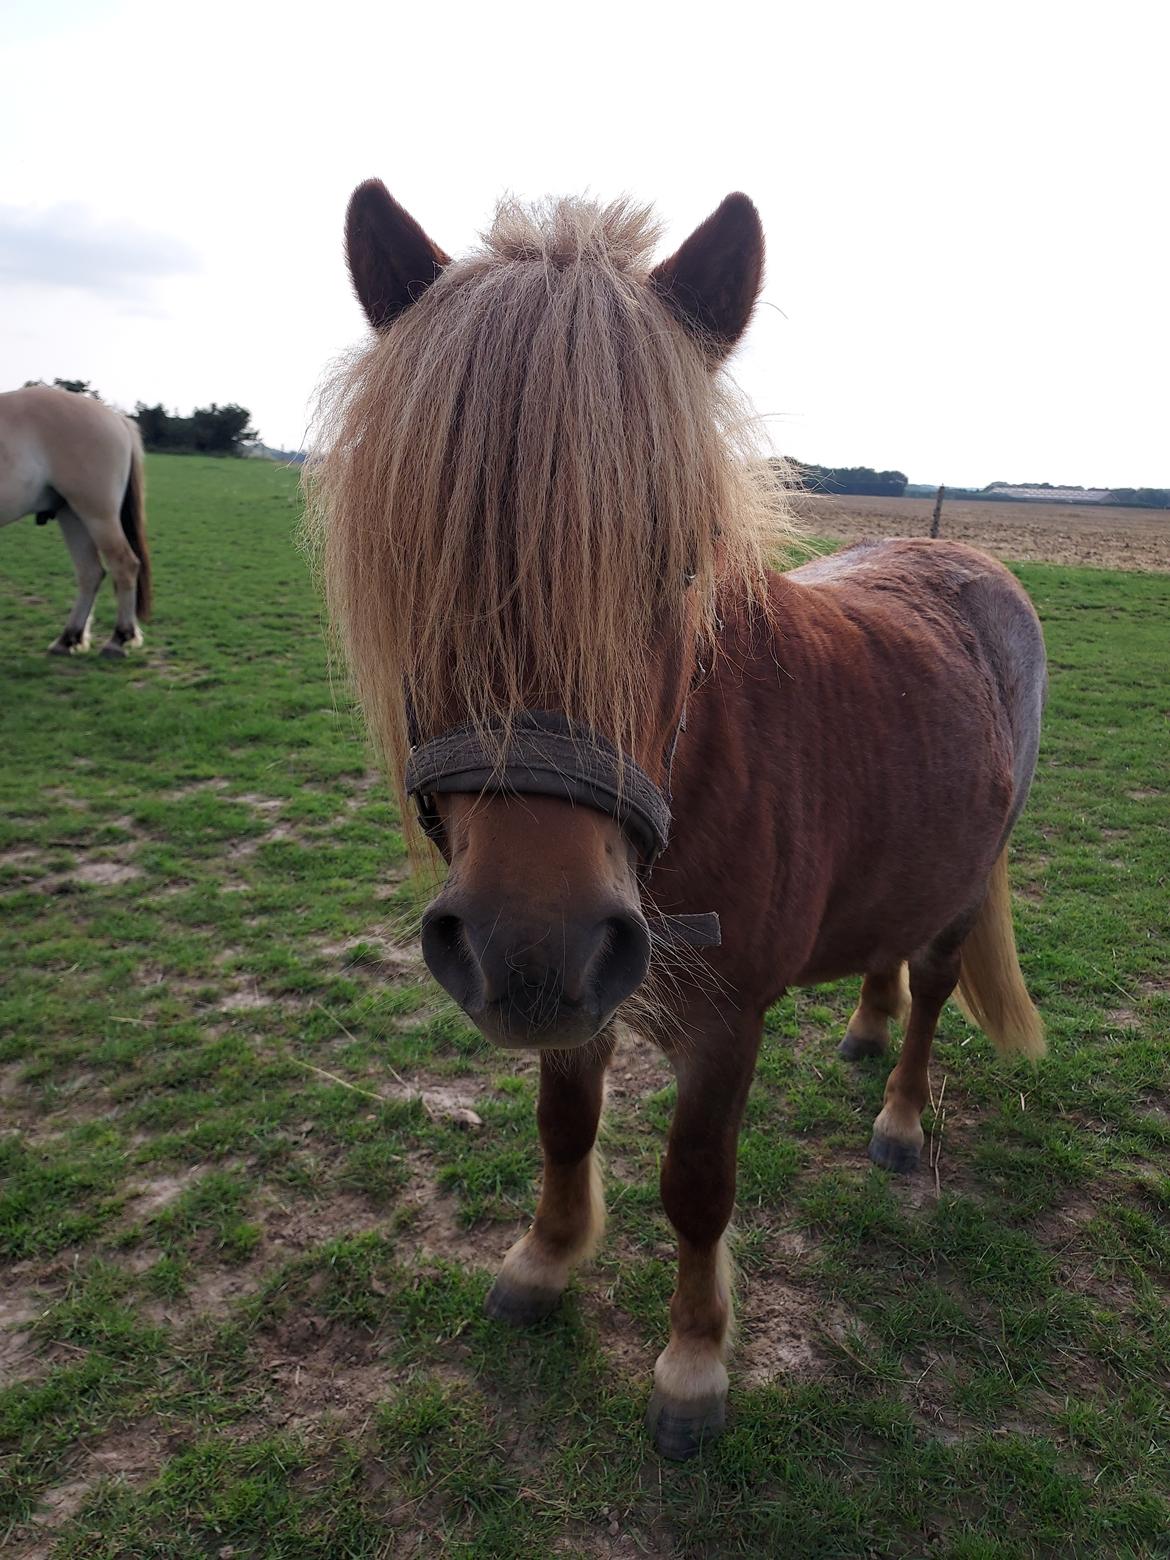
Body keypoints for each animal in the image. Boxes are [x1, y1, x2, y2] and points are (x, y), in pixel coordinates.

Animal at [0, 393, 153, 661]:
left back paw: (118, 639)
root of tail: (117, 418)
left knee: (124, 565)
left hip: (97, 514)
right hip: (72, 515)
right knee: (90, 573)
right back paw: (68, 638)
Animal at [308, 182, 1042, 1460]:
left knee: (936, 989)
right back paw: (862, 1026)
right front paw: (544, 1263)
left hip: (965, 885)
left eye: (679, 566)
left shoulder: (724, 1020)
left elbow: (697, 1185)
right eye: (421, 557)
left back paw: (900, 1118)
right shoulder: (581, 999)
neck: (696, 771)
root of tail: (969, 564)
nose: (531, 944)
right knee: (888, 956)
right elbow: (563, 1126)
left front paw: (694, 1364)